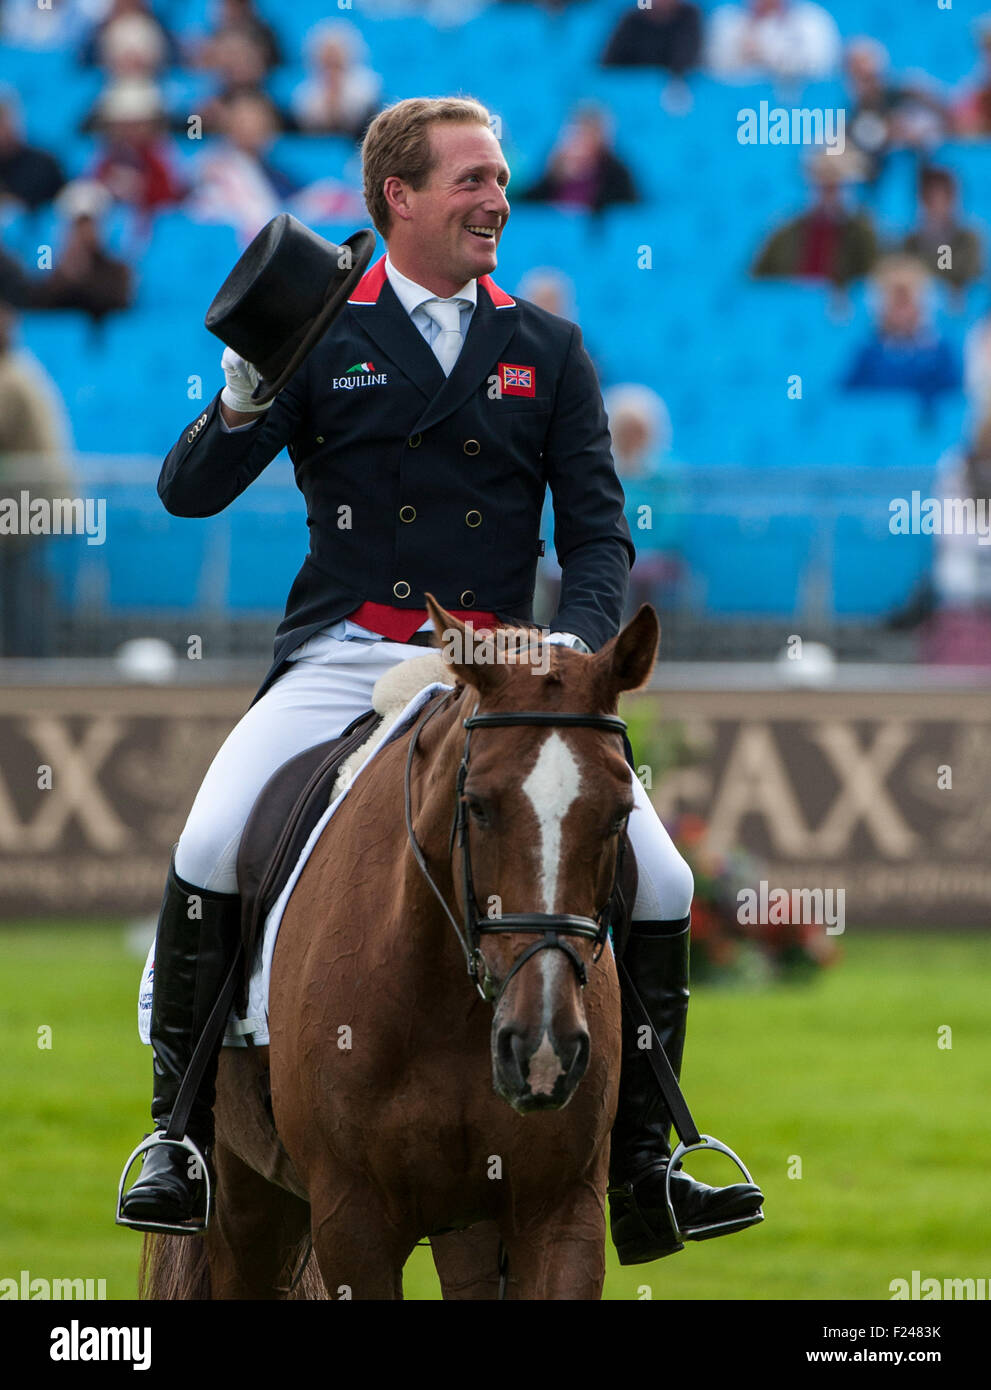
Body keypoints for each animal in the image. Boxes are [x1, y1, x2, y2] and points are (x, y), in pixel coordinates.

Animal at [138, 600, 661, 1301]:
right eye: (477, 805)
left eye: (621, 811)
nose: (542, 1049)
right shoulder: (351, 1218)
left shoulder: (560, 1210)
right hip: (245, 1200)